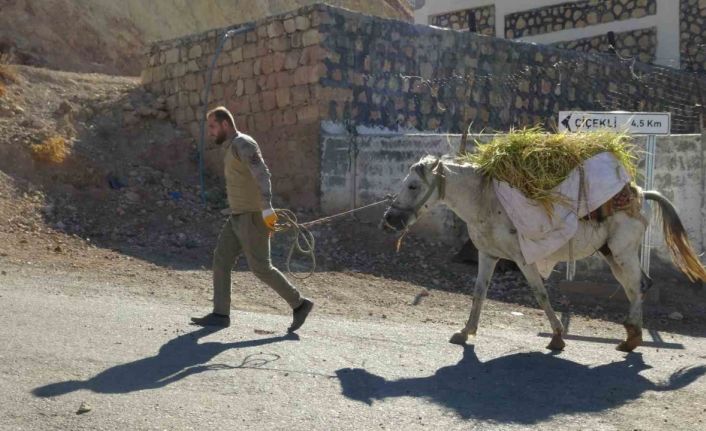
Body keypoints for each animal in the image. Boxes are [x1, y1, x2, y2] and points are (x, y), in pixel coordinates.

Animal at [380, 154, 704, 352]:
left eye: (413, 185)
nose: (390, 220)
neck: (487, 201)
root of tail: (639, 193)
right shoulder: (488, 255)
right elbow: (478, 294)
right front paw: (465, 331)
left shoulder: (524, 259)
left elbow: (540, 293)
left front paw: (558, 337)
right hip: (613, 254)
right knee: (637, 286)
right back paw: (631, 336)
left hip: (622, 252)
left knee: (637, 286)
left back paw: (631, 341)